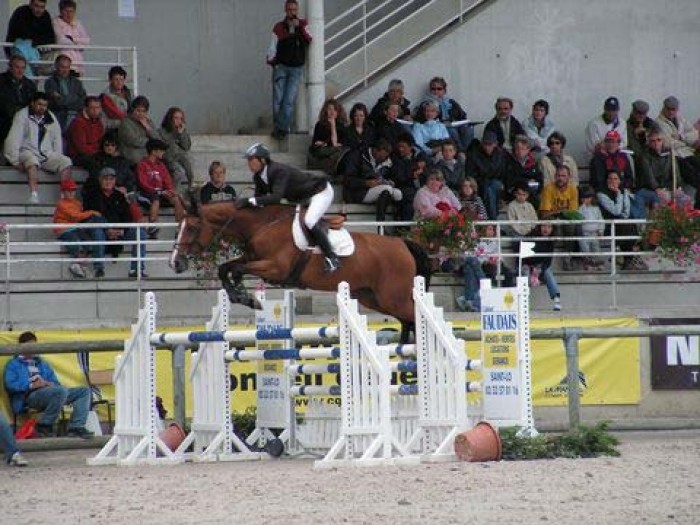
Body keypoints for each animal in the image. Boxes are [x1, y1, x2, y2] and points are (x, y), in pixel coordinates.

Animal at [170, 202, 431, 341]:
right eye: (178, 227)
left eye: (191, 227)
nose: (175, 263)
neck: (261, 225)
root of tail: (402, 243)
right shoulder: (255, 260)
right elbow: (227, 268)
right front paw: (244, 297)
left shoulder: (276, 268)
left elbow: (235, 269)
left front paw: (247, 297)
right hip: (374, 298)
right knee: (407, 320)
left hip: (392, 297)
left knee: (414, 315)